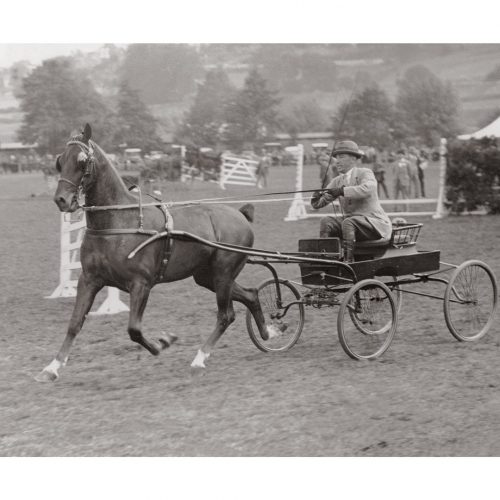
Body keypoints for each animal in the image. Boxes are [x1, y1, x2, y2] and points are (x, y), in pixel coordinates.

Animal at [35, 125, 274, 382]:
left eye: (82, 160)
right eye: (60, 160)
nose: (62, 200)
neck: (120, 220)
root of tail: (240, 214)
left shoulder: (141, 284)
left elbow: (134, 329)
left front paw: (163, 342)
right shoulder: (89, 280)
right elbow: (75, 323)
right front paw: (52, 367)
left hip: (223, 273)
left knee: (226, 315)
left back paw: (200, 358)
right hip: (207, 277)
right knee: (250, 295)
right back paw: (268, 332)